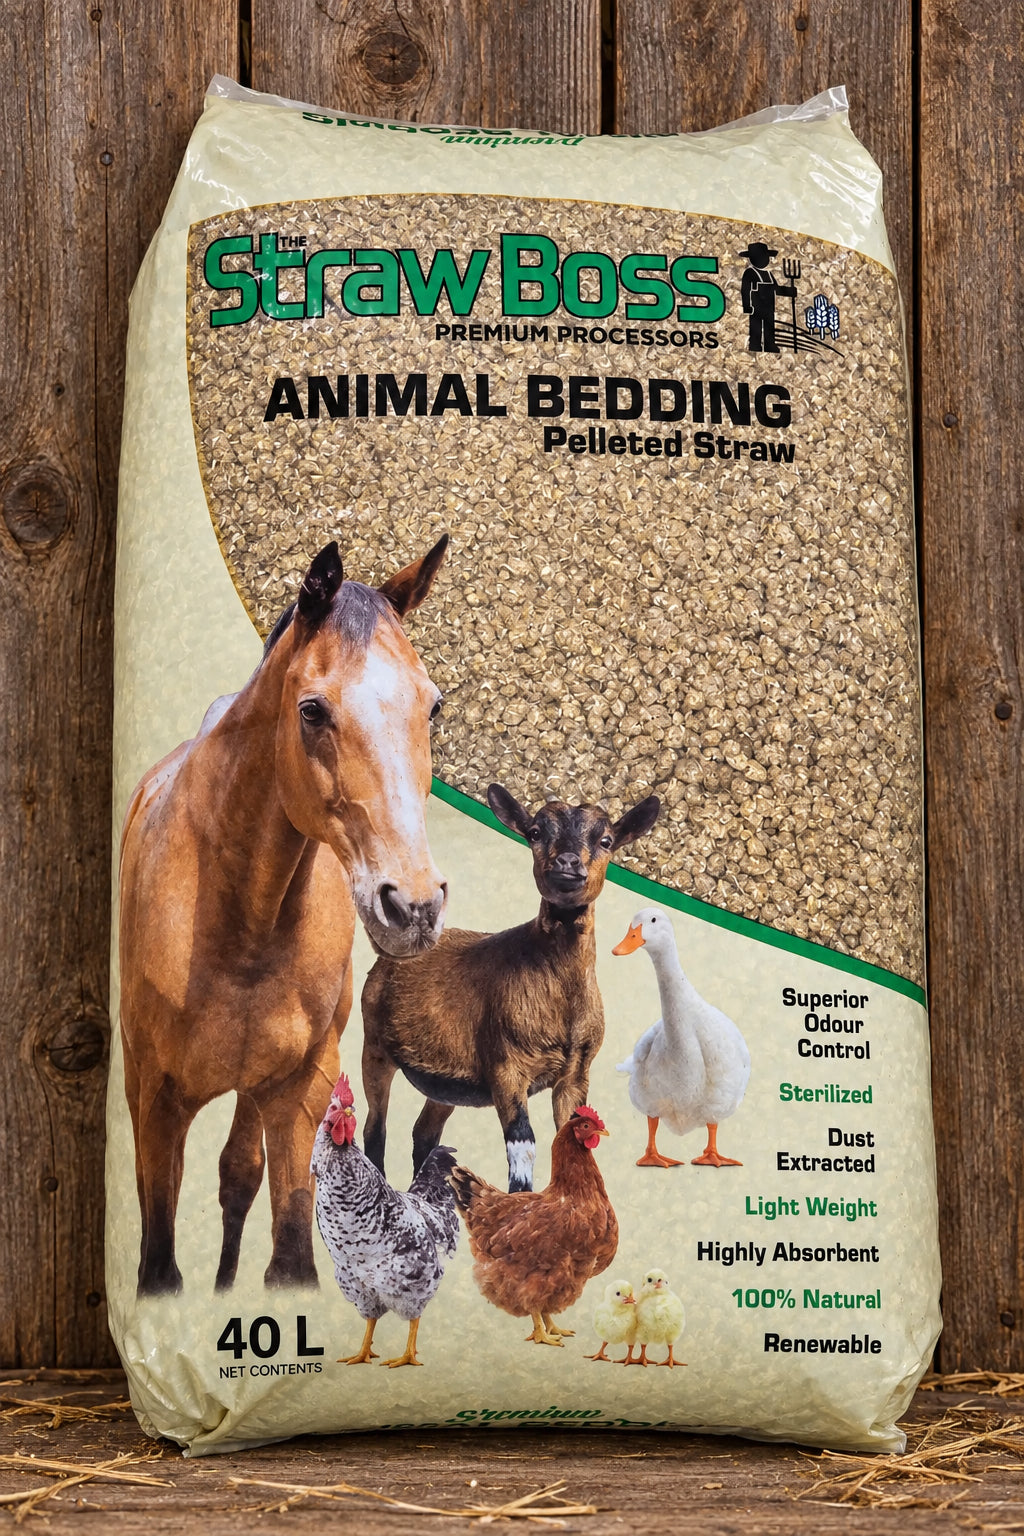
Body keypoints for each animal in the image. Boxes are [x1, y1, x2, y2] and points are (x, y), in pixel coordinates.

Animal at [118, 536, 449, 1296]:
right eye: (312, 711)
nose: (413, 907)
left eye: (433, 708)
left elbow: (291, 1257)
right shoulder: (154, 1104)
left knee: (238, 1177)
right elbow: (157, 1264)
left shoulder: (301, 1093)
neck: (242, 925)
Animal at [360, 784, 661, 1192]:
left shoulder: (575, 1074)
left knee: (425, 1133)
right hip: (375, 1045)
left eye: (606, 840)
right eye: (535, 833)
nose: (567, 863)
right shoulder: (507, 1069)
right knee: (375, 1127)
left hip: (448, 1082)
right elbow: (523, 1149)